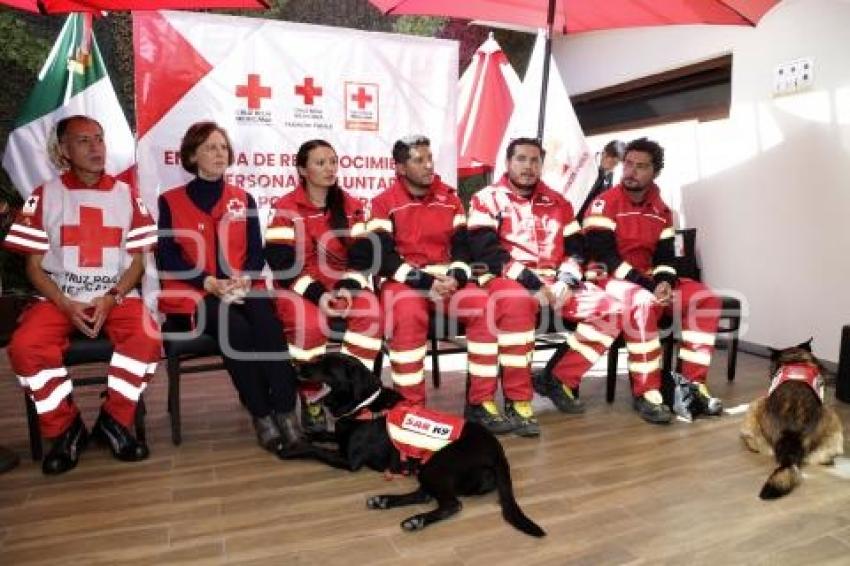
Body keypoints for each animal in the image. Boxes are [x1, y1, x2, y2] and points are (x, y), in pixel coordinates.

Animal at [290, 352, 544, 540]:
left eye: (324, 364)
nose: (295, 365)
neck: (364, 404)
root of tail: (497, 451)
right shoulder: (340, 437)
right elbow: (323, 434)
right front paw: (307, 433)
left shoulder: (349, 460)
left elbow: (318, 450)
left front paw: (292, 447)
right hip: (426, 468)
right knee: (424, 495)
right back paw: (384, 501)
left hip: (437, 465)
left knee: (452, 504)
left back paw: (416, 520)